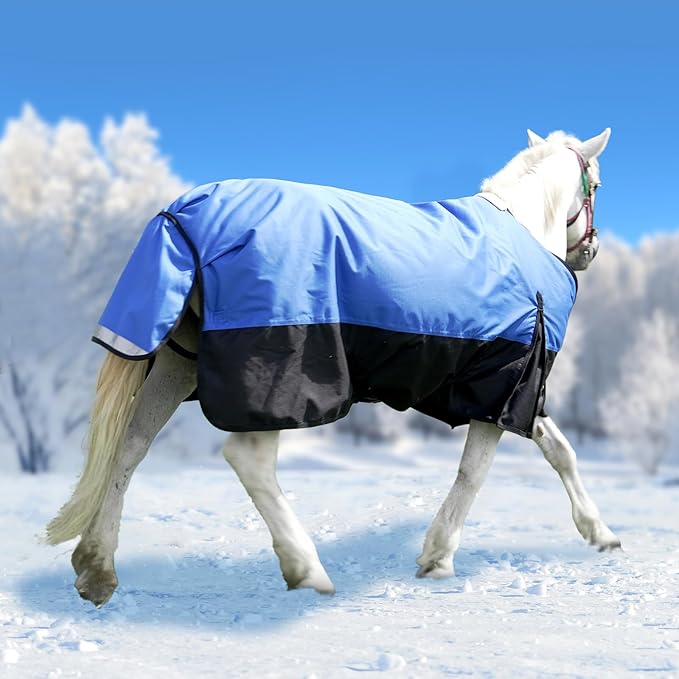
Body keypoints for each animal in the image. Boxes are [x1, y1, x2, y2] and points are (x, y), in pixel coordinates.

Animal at [46, 128, 620, 608]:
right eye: (596, 184)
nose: (590, 251)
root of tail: (187, 214)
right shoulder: (504, 383)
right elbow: (474, 473)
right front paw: (438, 557)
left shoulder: (513, 392)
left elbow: (559, 450)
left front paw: (600, 533)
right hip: (278, 375)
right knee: (248, 459)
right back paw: (308, 570)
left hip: (176, 365)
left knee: (131, 446)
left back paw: (96, 567)